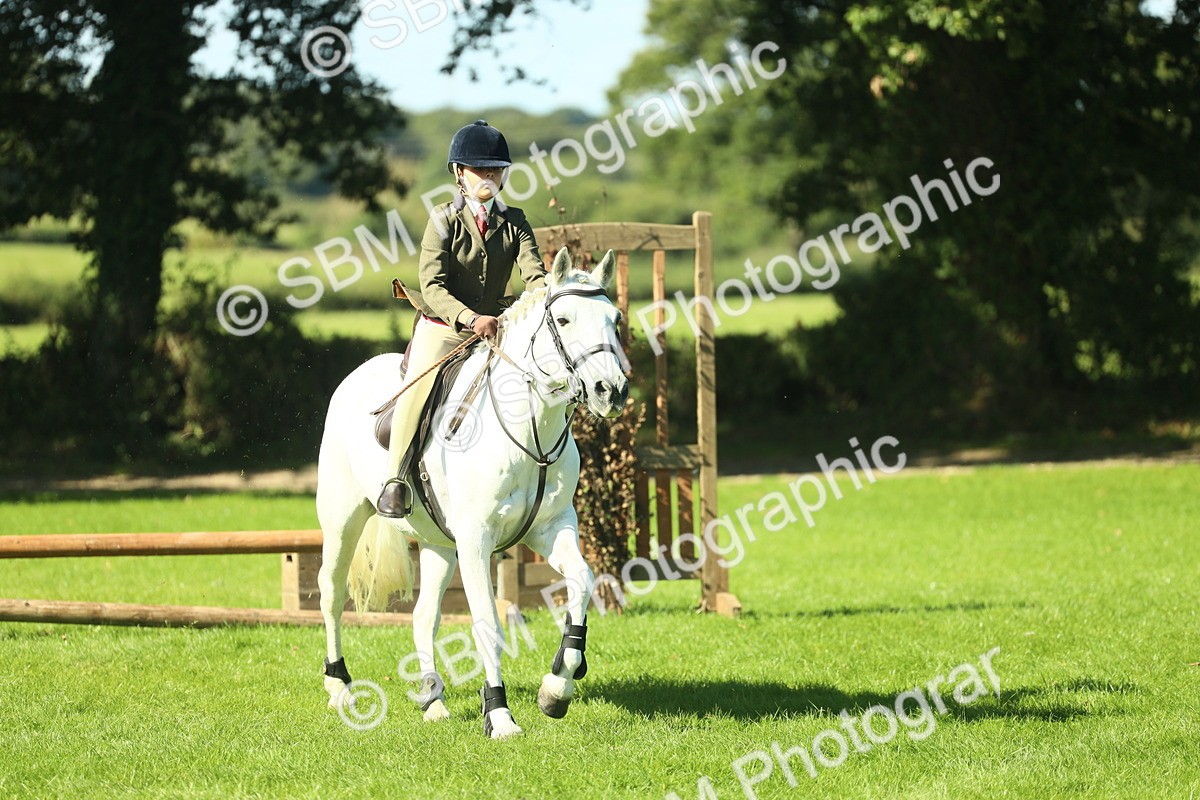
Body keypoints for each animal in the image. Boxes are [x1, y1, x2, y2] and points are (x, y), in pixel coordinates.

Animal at [314, 247, 629, 738]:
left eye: (615, 319)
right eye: (562, 319)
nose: (610, 391)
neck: (531, 427)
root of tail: (357, 374)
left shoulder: (551, 528)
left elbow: (581, 580)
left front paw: (558, 686)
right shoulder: (476, 538)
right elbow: (486, 621)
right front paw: (499, 715)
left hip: (439, 544)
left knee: (424, 615)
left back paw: (433, 700)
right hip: (343, 519)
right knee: (331, 592)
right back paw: (341, 687)